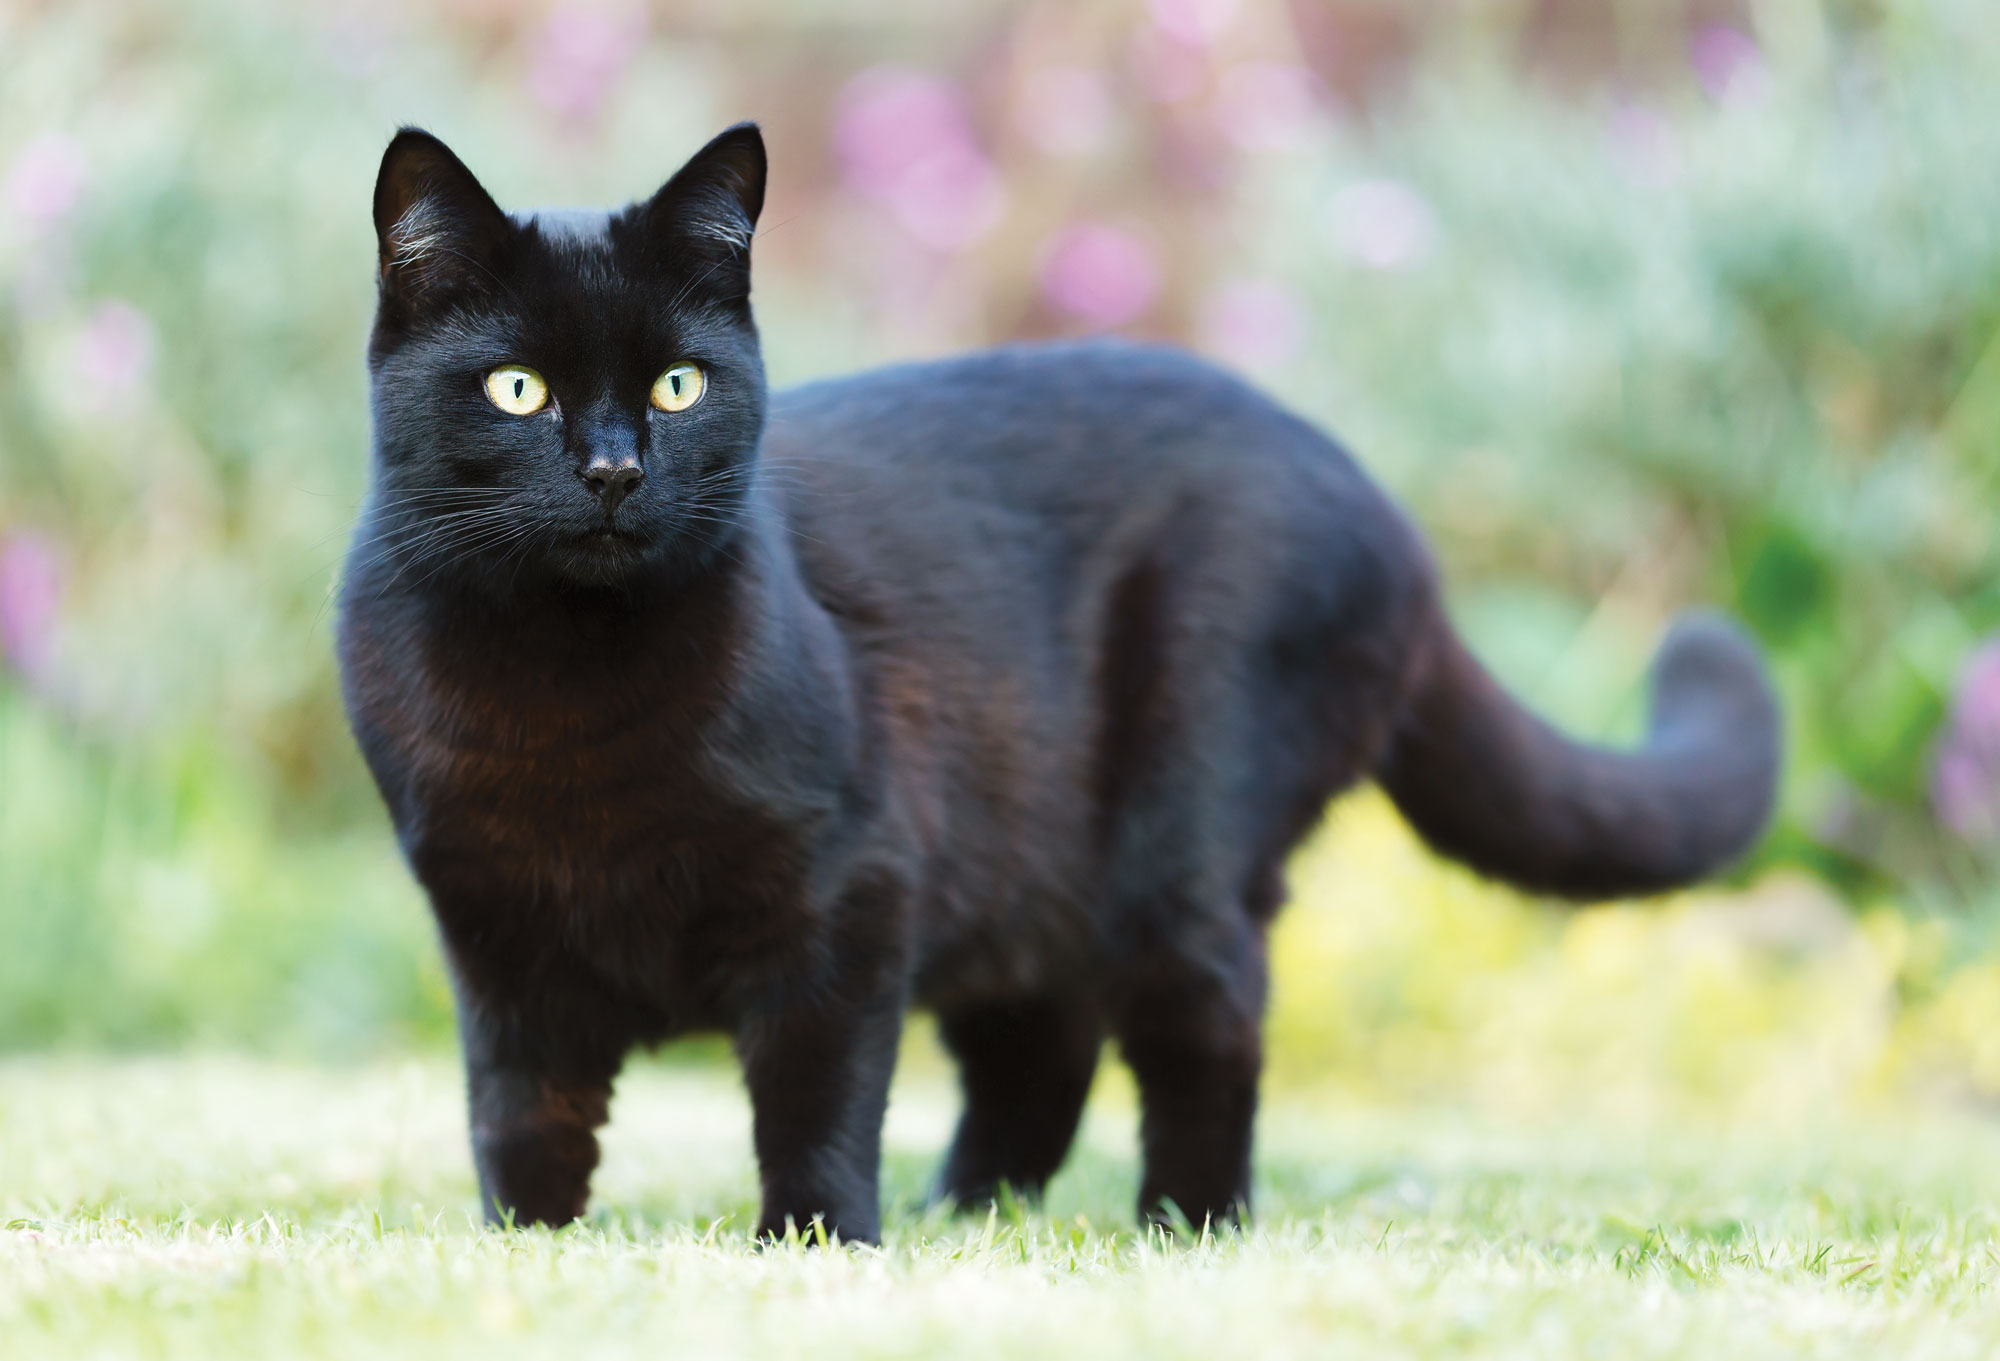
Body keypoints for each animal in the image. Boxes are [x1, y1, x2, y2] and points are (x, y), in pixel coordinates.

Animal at [340, 125, 1784, 1240]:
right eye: (516, 389)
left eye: (680, 386)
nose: (612, 468)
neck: (563, 702)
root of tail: (1381, 505)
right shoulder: (495, 937)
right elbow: (518, 1113)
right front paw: (528, 1248)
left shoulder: (849, 893)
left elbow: (814, 1097)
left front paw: (816, 1245)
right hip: (1023, 866)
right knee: (1043, 1052)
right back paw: (967, 1215)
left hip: (1179, 826)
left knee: (1205, 1020)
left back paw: (1182, 1224)